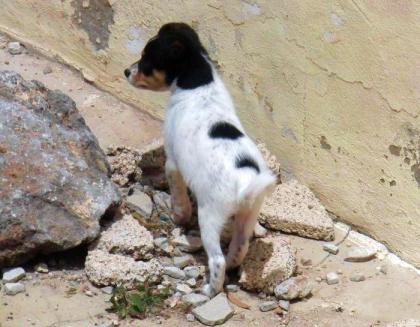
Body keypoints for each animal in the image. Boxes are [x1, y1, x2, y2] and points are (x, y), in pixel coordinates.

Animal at [124, 23, 276, 298]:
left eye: (146, 59)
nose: (126, 72)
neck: (199, 81)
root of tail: (245, 180)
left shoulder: (173, 163)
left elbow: (179, 198)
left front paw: (179, 218)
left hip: (210, 216)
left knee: (217, 260)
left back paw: (209, 290)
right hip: (249, 214)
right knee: (240, 247)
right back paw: (233, 265)